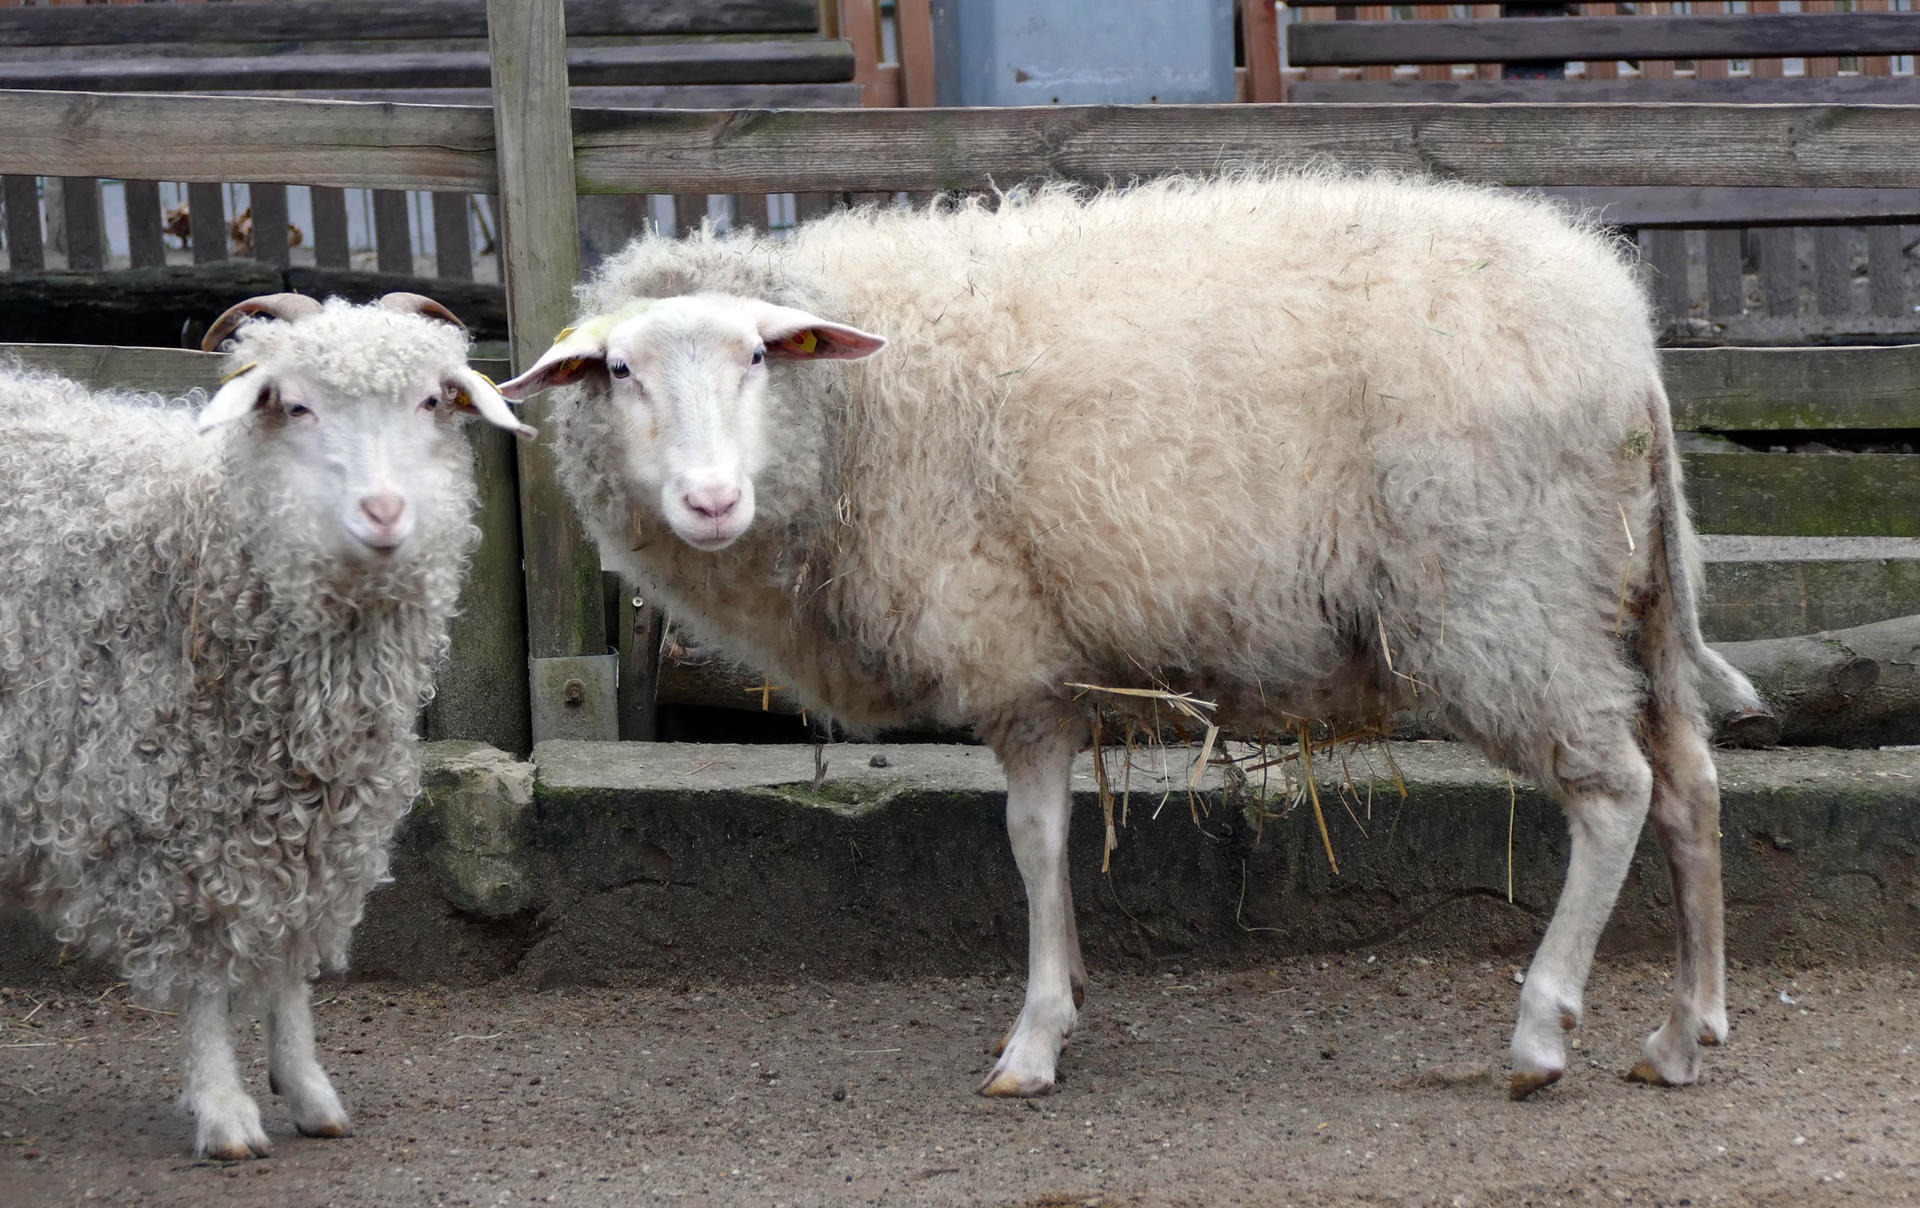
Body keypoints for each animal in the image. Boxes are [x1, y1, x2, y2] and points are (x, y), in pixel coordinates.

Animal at [0, 292, 533, 1158]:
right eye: (296, 405)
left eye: (432, 400)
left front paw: (308, 1090)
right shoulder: (170, 815)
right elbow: (201, 974)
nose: (384, 512)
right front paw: (224, 1111)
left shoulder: (310, 823)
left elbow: (287, 956)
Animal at [498, 171, 1764, 1101]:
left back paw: (1542, 1032)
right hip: (1612, 592)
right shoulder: (1046, 665)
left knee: (1615, 792)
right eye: (619, 371)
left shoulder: (1012, 653)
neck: (863, 412)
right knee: (1691, 784)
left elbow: (1031, 838)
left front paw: (1033, 1038)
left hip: (1510, 596)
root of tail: (1629, 346)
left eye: (759, 358)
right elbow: (1047, 838)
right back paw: (1684, 1031)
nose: (710, 501)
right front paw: (1063, 1006)